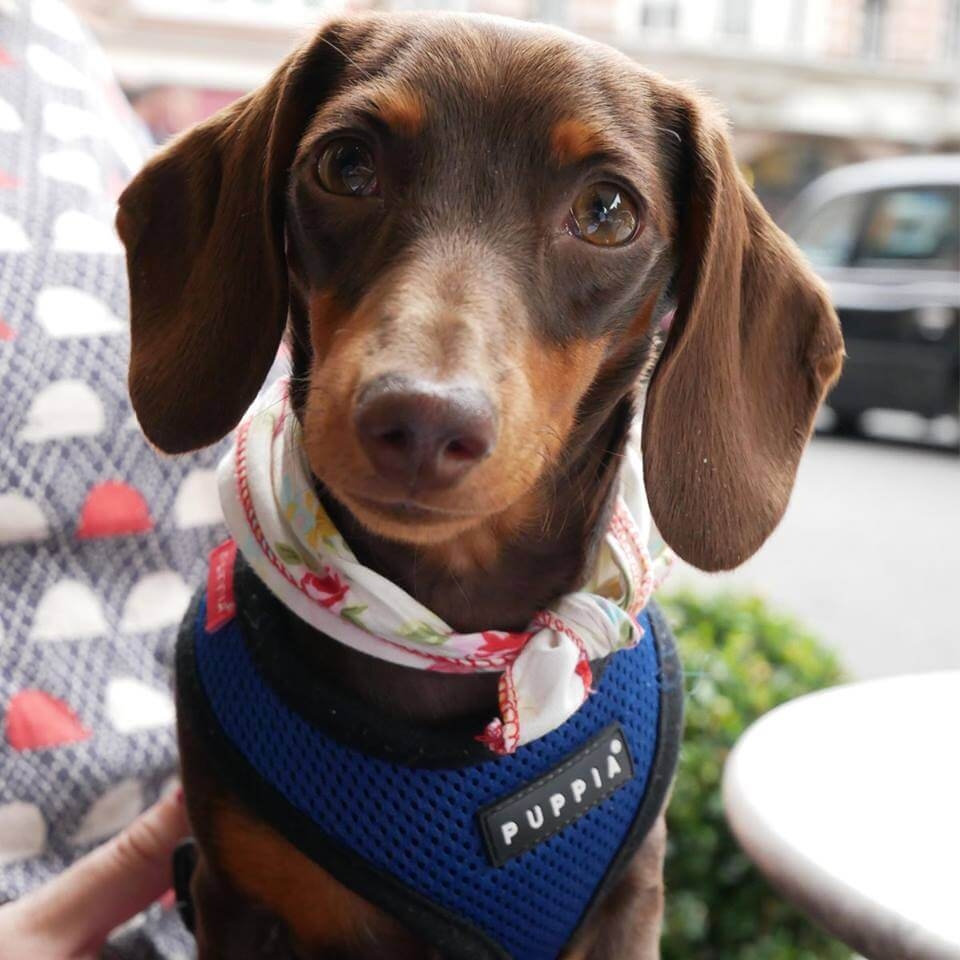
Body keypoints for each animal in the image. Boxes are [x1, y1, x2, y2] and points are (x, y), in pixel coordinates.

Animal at [118, 11, 840, 956]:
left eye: (608, 211)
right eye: (344, 165)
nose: (420, 421)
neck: (455, 626)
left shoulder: (630, 900)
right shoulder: (234, 897)